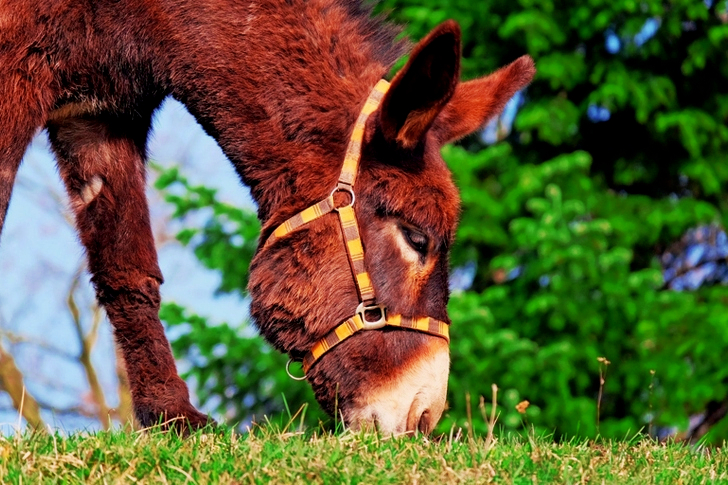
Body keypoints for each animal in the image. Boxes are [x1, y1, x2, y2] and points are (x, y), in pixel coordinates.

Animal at [0, 0, 535, 434]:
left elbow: (128, 269)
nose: (423, 416)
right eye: (417, 238)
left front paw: (172, 418)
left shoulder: (101, 114)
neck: (148, 19)